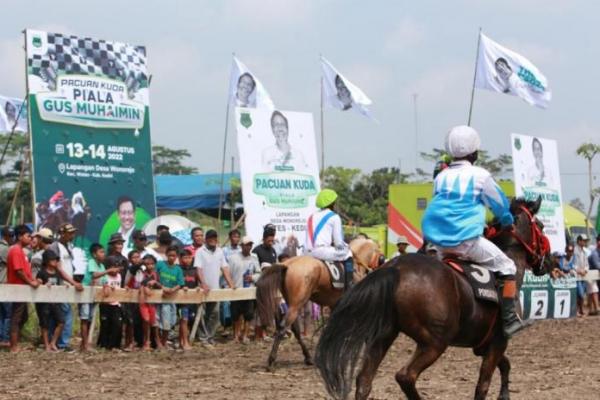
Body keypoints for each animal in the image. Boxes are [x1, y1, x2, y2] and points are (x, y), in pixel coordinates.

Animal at [255, 238, 382, 372]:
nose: (382, 263)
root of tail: (287, 265)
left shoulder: (334, 305)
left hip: (292, 304)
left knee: (295, 330)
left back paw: (308, 357)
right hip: (296, 304)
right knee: (282, 328)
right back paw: (271, 361)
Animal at [314, 198, 552, 400]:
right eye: (540, 225)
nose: (549, 261)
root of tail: (395, 267)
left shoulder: (484, 345)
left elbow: (505, 365)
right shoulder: (499, 341)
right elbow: (483, 384)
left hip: (384, 336)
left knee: (364, 380)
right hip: (434, 342)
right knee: (405, 376)